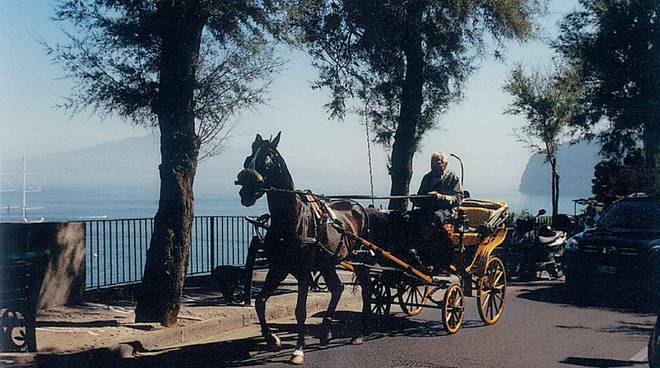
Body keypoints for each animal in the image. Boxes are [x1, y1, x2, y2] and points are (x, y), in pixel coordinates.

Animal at [235, 132, 374, 366]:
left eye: (267, 162)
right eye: (247, 160)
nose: (246, 192)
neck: (293, 217)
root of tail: (359, 207)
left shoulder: (302, 272)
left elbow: (300, 311)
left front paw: (298, 349)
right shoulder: (279, 267)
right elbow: (260, 302)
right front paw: (272, 339)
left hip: (360, 261)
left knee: (366, 289)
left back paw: (360, 332)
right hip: (328, 262)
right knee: (337, 288)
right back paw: (326, 330)